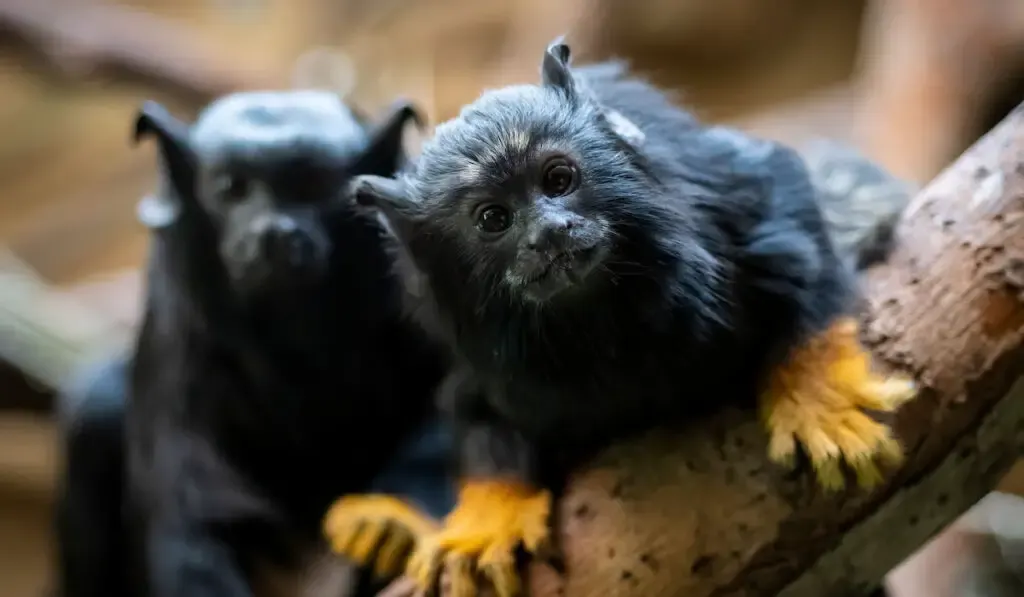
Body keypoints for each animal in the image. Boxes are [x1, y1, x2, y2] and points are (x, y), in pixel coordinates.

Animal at [56, 91, 452, 597]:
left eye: (312, 185)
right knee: (97, 409)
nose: (274, 233)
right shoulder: (181, 330)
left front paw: (389, 524)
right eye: (232, 189)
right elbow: (199, 516)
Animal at [327, 39, 921, 593]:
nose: (551, 232)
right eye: (494, 218)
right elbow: (475, 415)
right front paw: (491, 514)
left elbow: (799, 239)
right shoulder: (475, 352)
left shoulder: (734, 197)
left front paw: (817, 392)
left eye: (559, 179)